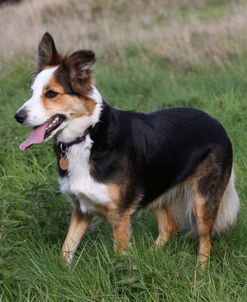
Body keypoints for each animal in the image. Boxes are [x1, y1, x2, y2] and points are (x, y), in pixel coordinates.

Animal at [14, 33, 239, 272]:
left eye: (51, 94)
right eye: (32, 92)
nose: (17, 116)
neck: (87, 134)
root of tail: (216, 123)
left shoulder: (120, 215)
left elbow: (119, 262)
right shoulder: (81, 209)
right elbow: (66, 249)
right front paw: (63, 272)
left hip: (202, 199)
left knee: (205, 239)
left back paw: (199, 273)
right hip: (153, 188)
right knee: (169, 225)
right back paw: (149, 257)